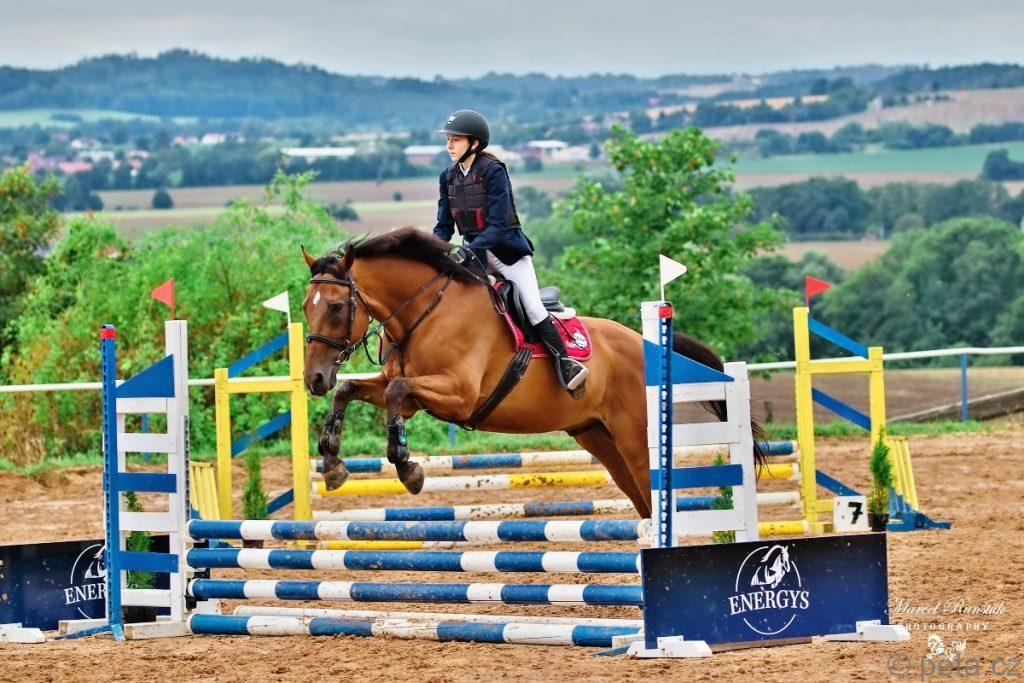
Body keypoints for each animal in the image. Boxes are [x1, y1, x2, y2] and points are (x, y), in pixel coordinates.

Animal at [301, 227, 767, 518]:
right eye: (306, 306)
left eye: (337, 307)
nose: (314, 379)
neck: (423, 312)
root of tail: (644, 343)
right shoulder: (415, 396)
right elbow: (353, 390)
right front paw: (333, 464)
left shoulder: (458, 394)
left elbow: (396, 389)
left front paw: (407, 467)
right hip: (598, 436)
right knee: (642, 502)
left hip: (634, 437)